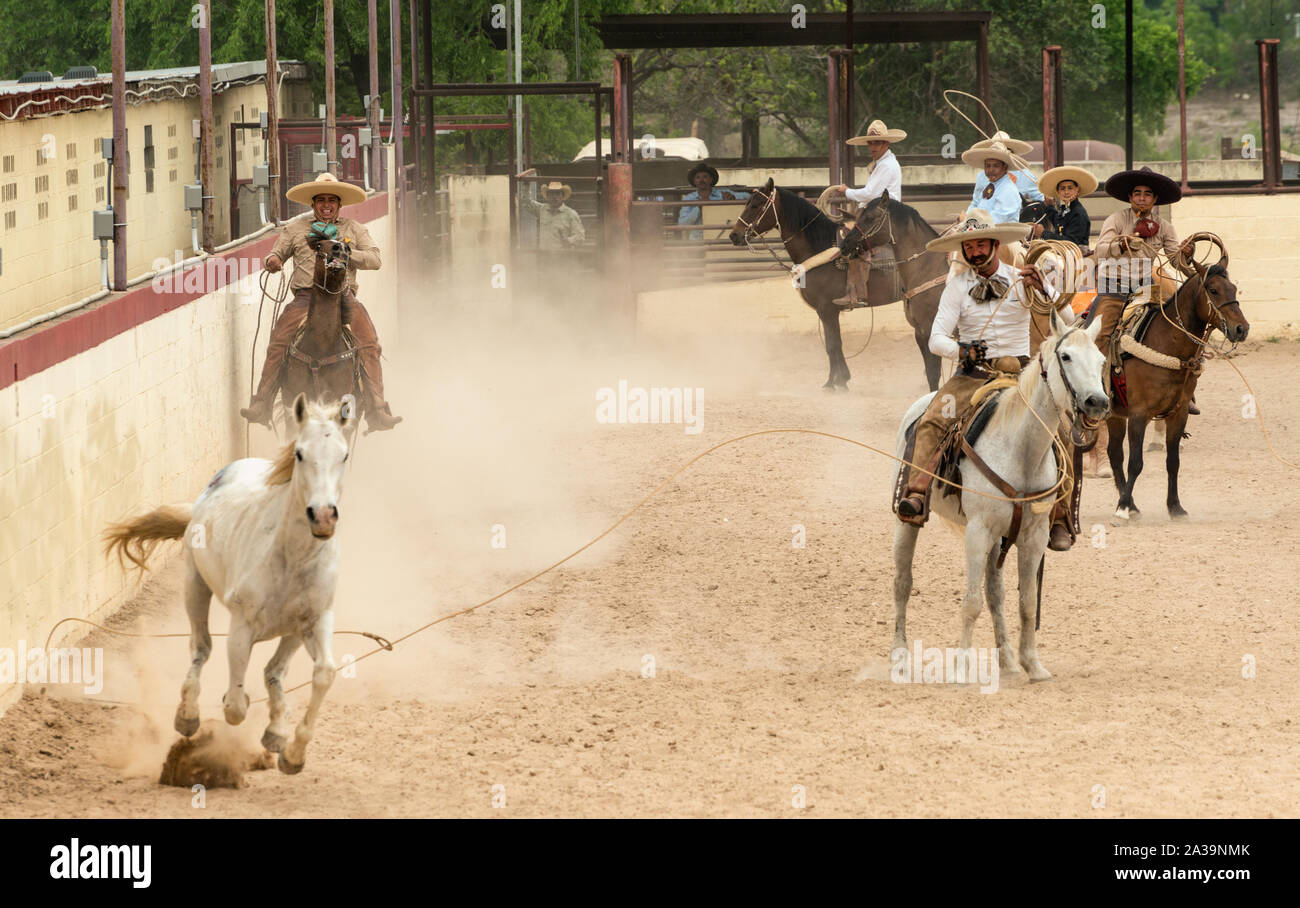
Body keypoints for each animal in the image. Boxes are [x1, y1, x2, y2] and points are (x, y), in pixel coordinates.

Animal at [733, 178, 946, 390]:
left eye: (755, 205)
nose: (734, 235)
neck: (819, 247)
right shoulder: (825, 311)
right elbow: (833, 344)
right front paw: (836, 380)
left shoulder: (827, 309)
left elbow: (833, 345)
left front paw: (838, 382)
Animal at [894, 310, 1107, 676]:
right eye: (1066, 356)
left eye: (1102, 360)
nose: (1097, 402)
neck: (1020, 449)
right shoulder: (977, 532)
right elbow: (971, 603)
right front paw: (961, 669)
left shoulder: (1033, 536)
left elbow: (1026, 602)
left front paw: (1032, 665)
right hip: (907, 520)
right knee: (903, 583)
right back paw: (900, 655)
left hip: (1000, 536)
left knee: (996, 593)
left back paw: (1006, 661)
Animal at [1097, 251, 1248, 520]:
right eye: (1213, 290)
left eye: (1233, 289)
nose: (1242, 329)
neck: (1166, 344)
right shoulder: (1139, 415)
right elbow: (1136, 462)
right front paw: (1123, 510)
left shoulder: (1178, 414)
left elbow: (1173, 462)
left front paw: (1175, 507)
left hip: (1115, 415)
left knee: (1114, 453)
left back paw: (1131, 502)